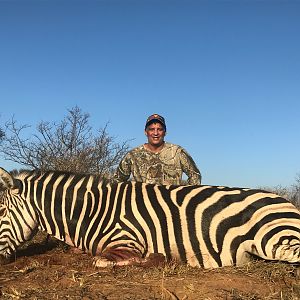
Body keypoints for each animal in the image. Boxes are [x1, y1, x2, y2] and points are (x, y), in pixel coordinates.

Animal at [0, 168, 300, 268]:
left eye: (1, 212)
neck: (91, 211)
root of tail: (288, 203)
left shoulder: (128, 242)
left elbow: (100, 261)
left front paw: (157, 260)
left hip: (272, 238)